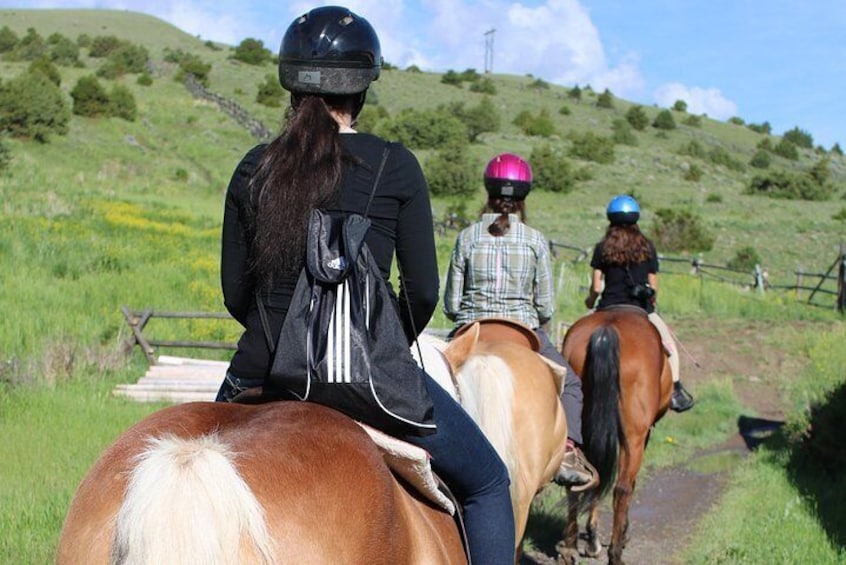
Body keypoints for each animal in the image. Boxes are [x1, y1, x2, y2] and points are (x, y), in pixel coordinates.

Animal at [560, 308, 672, 564]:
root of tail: (606, 331)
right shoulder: (641, 437)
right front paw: (623, 534)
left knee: (579, 479)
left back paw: (572, 547)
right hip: (633, 438)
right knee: (622, 489)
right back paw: (615, 553)